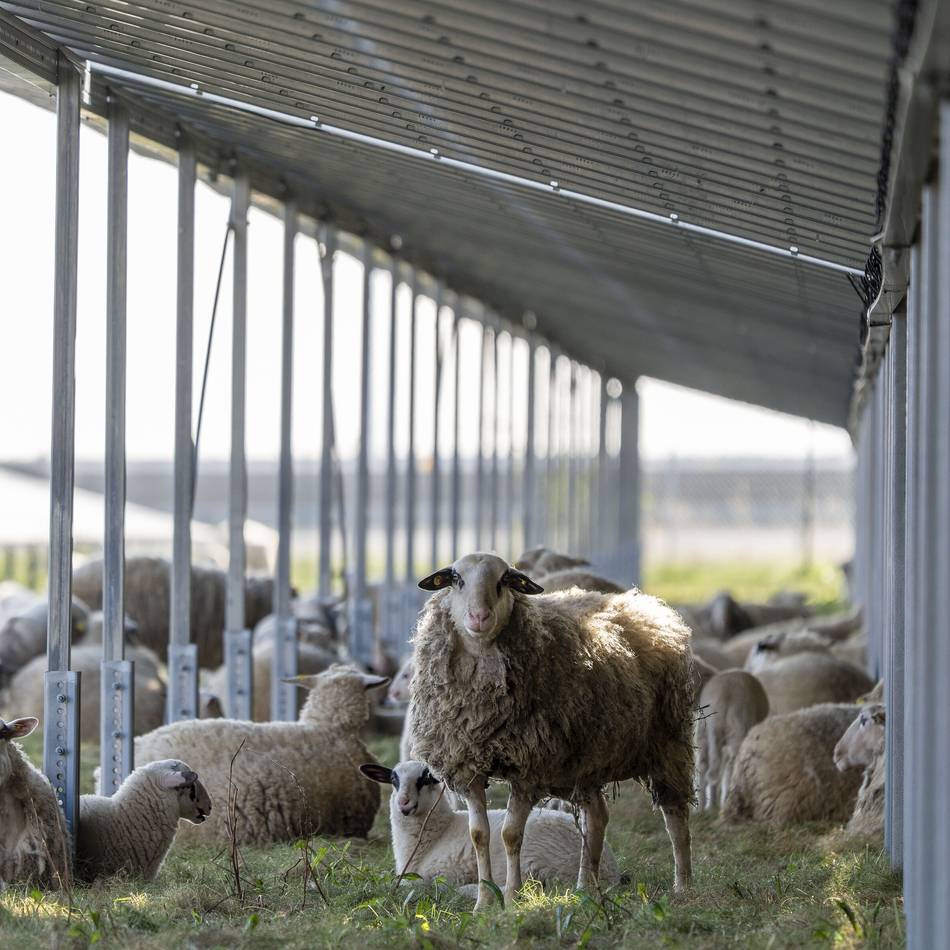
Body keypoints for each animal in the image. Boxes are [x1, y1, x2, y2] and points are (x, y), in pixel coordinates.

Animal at [360, 760, 621, 889]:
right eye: (393, 779)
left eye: (426, 779)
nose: (403, 804)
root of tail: (608, 872)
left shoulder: (444, 872)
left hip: (532, 862)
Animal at [410, 553, 695, 910]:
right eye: (456, 579)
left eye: (504, 580)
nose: (479, 617)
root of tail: (645, 603)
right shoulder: (468, 766)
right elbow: (479, 835)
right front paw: (483, 902)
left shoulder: (528, 769)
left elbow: (510, 835)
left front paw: (512, 896)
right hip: (585, 760)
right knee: (596, 817)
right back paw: (585, 889)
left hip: (668, 742)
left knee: (676, 818)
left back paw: (683, 887)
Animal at [694, 671, 769, 810]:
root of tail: (725, 694)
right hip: (738, 729)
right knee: (733, 767)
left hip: (704, 731)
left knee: (704, 766)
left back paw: (702, 808)